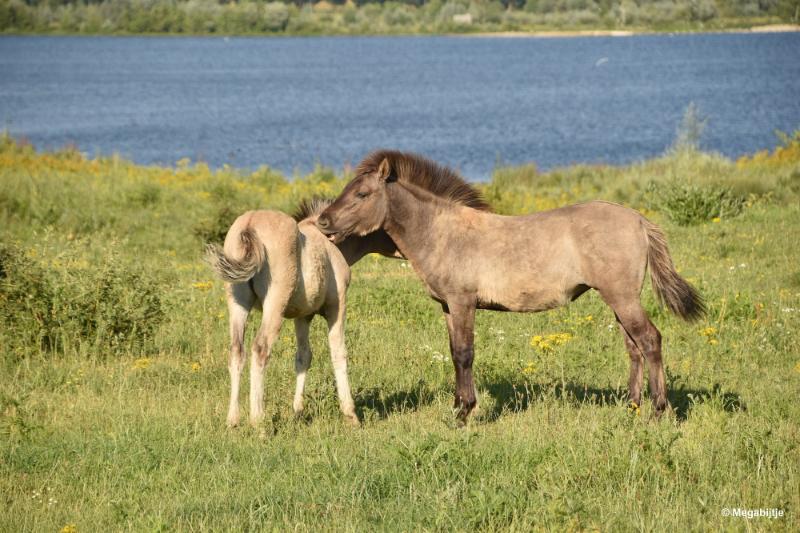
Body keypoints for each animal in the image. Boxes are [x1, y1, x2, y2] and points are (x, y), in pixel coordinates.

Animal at [316, 152, 704, 422]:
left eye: (362, 194)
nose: (323, 221)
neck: (442, 233)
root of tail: (639, 220)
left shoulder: (463, 302)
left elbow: (465, 353)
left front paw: (465, 413)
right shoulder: (447, 306)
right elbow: (454, 353)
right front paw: (457, 406)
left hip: (622, 297)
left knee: (650, 340)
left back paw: (657, 411)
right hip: (618, 299)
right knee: (634, 347)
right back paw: (632, 407)